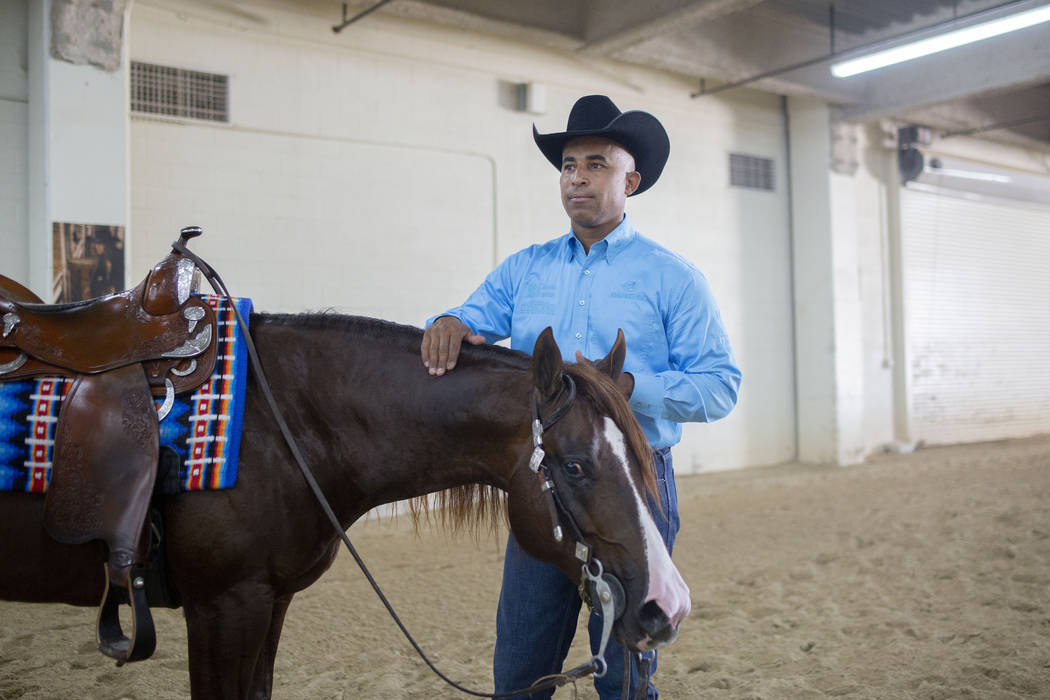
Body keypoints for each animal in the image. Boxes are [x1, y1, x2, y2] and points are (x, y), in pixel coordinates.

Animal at [0, 312, 692, 700]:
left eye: (643, 457)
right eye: (574, 466)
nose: (669, 604)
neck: (276, 425)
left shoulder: (266, 603)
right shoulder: (222, 607)